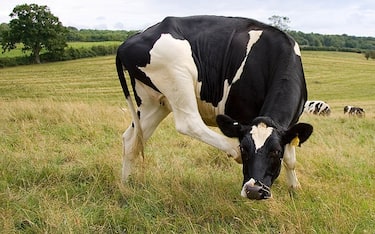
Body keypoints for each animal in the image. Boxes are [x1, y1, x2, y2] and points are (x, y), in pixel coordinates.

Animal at [115, 15, 314, 200]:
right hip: (177, 74)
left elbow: (290, 159)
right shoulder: (239, 116)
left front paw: (295, 188)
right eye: (245, 148)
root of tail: (128, 41)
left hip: (153, 102)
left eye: (275, 152)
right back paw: (231, 150)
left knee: (131, 139)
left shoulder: (289, 126)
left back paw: (125, 186)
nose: (253, 190)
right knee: (189, 123)